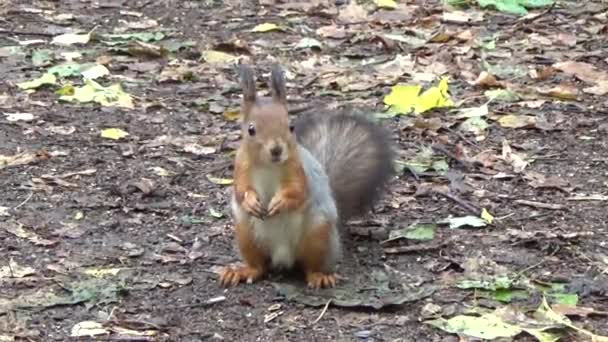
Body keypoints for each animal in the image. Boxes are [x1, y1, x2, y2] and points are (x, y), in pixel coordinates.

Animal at [218, 64, 394, 288]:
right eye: (251, 129)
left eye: (290, 126)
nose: (277, 150)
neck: (268, 165)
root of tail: (282, 257)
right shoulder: (241, 168)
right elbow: (240, 190)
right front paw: (250, 201)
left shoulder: (299, 170)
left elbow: (297, 192)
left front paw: (280, 202)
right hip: (246, 235)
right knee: (258, 266)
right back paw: (241, 271)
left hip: (317, 234)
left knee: (311, 265)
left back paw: (320, 277)